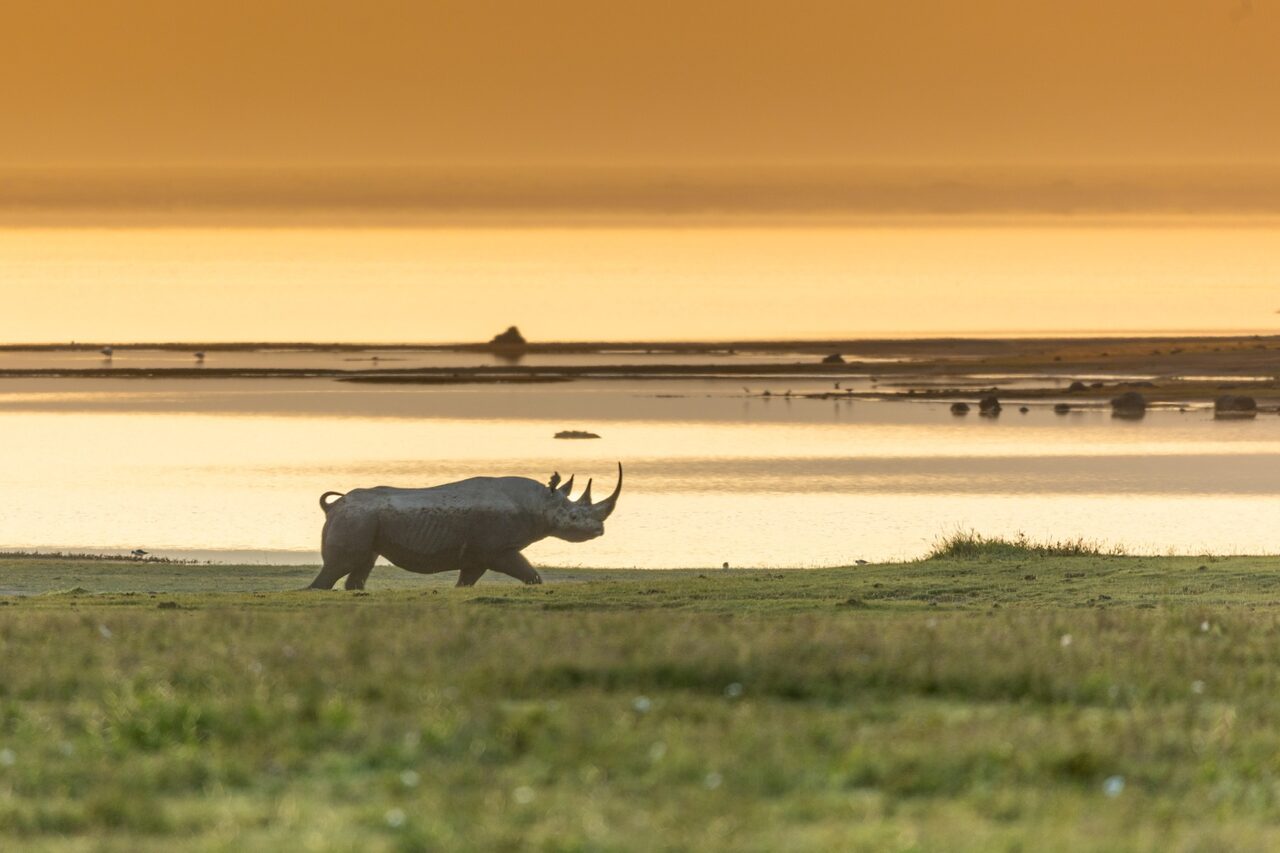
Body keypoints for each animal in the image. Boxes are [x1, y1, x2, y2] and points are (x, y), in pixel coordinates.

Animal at [307, 464, 622, 590]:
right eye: (573, 518)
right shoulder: (497, 549)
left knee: (362, 563)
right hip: (355, 518)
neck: (541, 502)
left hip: (364, 520)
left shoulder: (478, 554)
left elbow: (466, 581)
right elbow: (530, 574)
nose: (599, 531)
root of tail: (333, 506)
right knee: (340, 565)